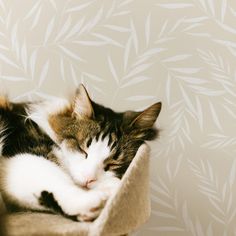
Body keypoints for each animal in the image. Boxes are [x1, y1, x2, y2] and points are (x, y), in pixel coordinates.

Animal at [0, 84, 161, 221]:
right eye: (82, 150)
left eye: (113, 163)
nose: (89, 179)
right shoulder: (19, 154)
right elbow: (53, 178)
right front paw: (98, 197)